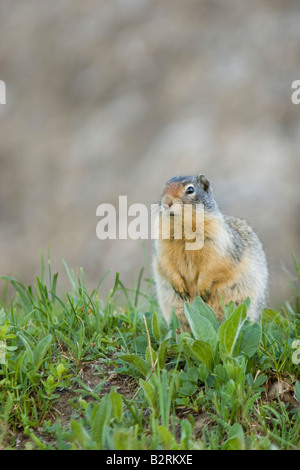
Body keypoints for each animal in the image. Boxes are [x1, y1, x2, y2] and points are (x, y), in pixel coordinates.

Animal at [154, 174, 268, 328]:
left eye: (190, 190)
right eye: (164, 187)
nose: (166, 202)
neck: (184, 230)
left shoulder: (219, 243)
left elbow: (214, 265)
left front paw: (202, 289)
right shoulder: (162, 245)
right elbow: (165, 263)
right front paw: (180, 288)